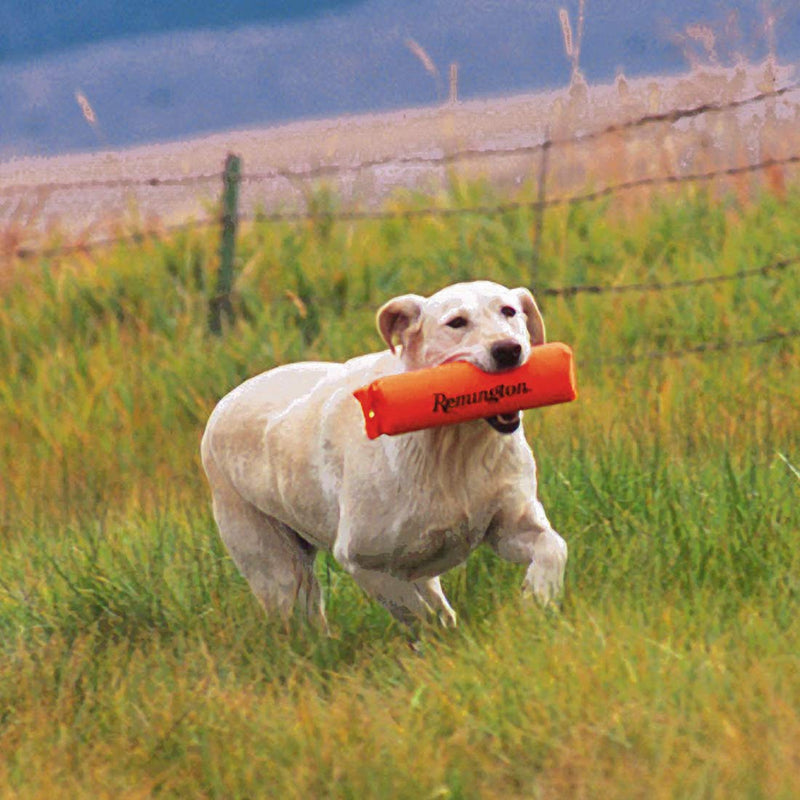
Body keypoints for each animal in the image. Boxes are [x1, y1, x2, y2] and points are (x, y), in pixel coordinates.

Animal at [203, 284, 564, 628]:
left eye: (509, 311)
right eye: (457, 322)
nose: (508, 350)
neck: (452, 447)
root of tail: (221, 406)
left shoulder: (508, 527)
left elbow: (554, 548)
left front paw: (536, 601)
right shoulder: (362, 561)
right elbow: (418, 614)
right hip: (277, 570)